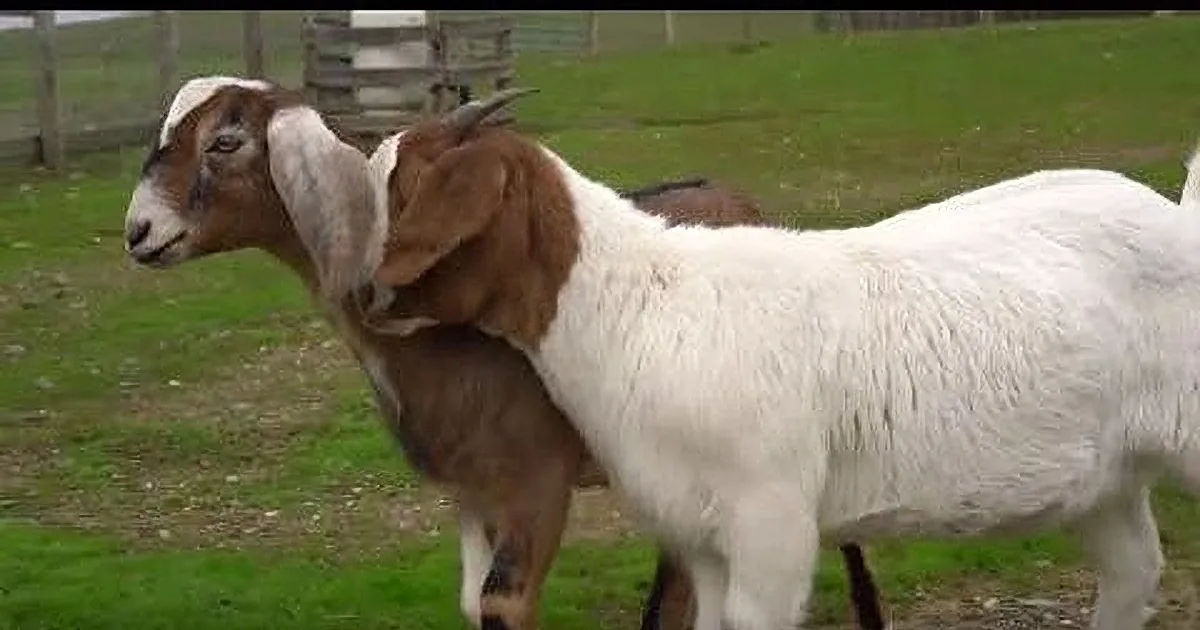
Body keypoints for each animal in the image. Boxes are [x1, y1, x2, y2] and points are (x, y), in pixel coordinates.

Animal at [120, 77, 885, 630]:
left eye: (225, 141)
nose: (139, 232)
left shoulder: (537, 480)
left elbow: (502, 603)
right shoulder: (470, 489)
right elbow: (470, 600)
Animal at [364, 87, 1200, 630]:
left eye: (403, 191)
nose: (366, 292)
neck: (641, 307)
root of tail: (1177, 216)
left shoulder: (771, 519)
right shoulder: (696, 534)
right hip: (1104, 474)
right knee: (1132, 572)